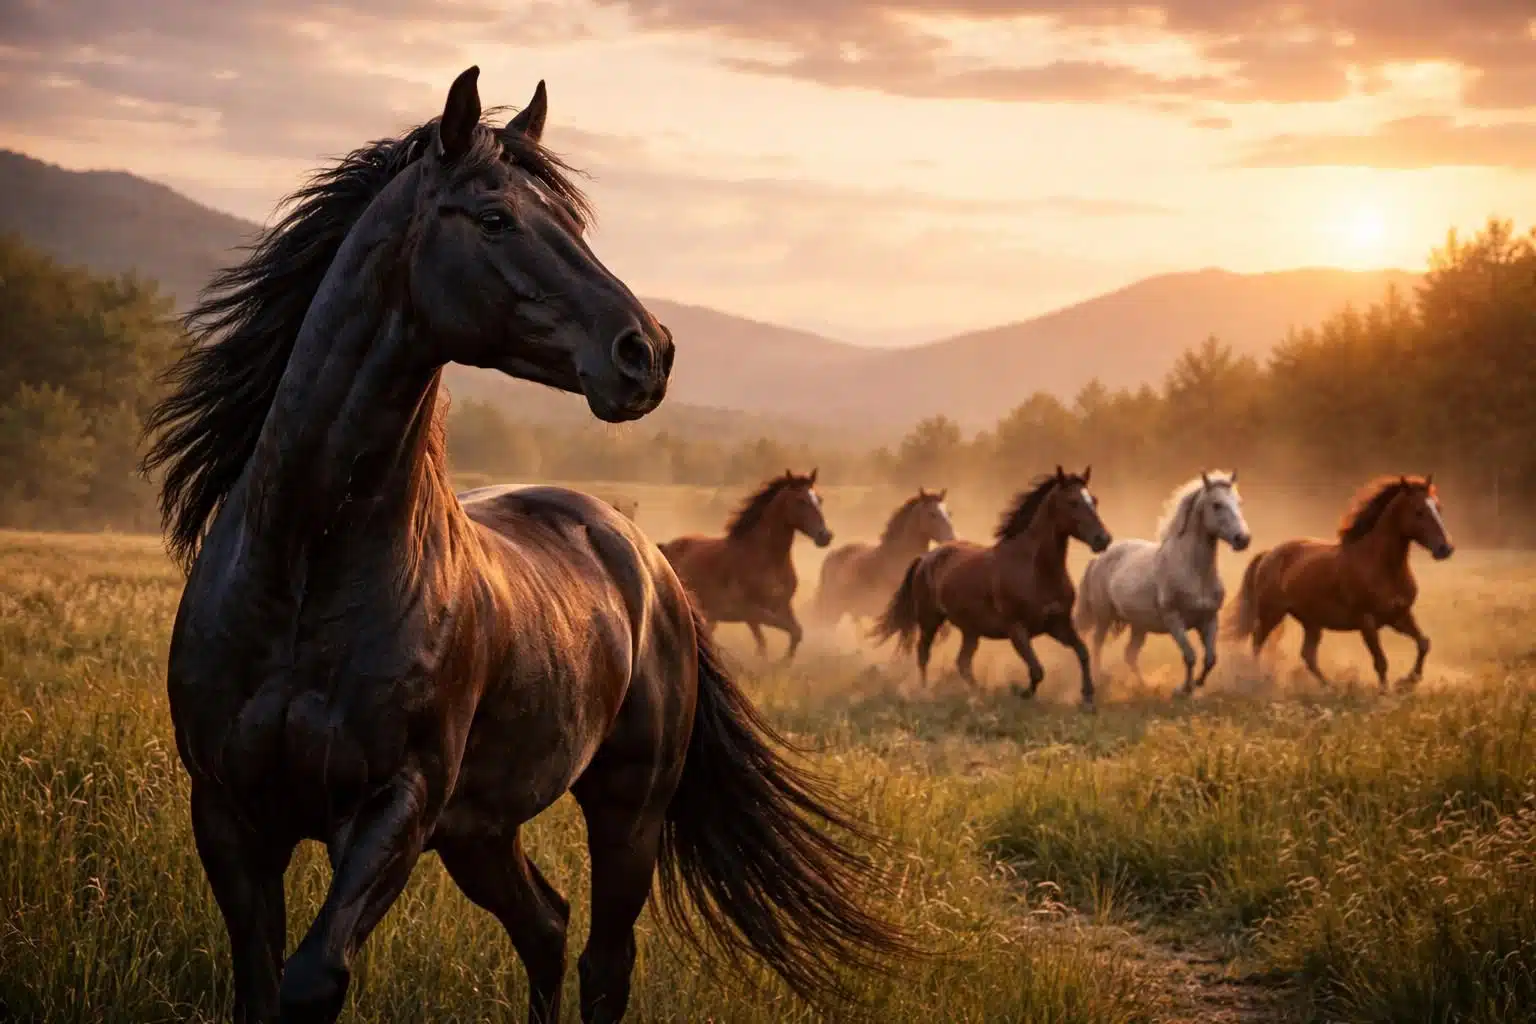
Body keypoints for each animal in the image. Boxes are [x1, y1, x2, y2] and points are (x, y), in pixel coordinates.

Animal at [658, 470, 833, 662]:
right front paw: (775, 664)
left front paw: (780, 663)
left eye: (820, 499)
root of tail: (665, 547)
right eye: (800, 501)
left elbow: (794, 632)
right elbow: (779, 634)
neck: (767, 559)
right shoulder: (749, 612)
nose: (825, 536)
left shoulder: (783, 607)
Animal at [869, 467, 1112, 707]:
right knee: (923, 653)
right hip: (930, 620)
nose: (1103, 539)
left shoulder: (1058, 625)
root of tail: (925, 558)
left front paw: (1088, 698)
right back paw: (925, 692)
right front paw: (1018, 692)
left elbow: (1082, 652)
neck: (1036, 570)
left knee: (963, 662)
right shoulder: (1017, 629)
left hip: (970, 629)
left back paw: (979, 694)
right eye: (1072, 502)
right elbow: (1037, 670)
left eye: (1094, 500)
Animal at [1074, 471, 1251, 697]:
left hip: (1139, 625)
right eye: (1217, 504)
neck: (1194, 573)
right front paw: (1182, 690)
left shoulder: (1210, 619)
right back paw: (1098, 681)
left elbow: (1211, 659)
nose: (1243, 539)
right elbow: (1190, 656)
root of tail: (1098, 558)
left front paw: (1197, 685)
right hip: (1104, 617)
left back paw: (1145, 686)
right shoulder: (1174, 619)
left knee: (1130, 654)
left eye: (1240, 502)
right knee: (1097, 645)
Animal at [1225, 475, 1454, 690]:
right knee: (1257, 643)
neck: (1383, 567)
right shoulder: (1367, 622)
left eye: (1439, 508)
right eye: (1418, 511)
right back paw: (1255, 680)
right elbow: (1381, 662)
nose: (1445, 549)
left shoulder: (1399, 616)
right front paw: (1387, 692)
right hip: (1271, 614)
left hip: (1311, 622)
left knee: (1308, 655)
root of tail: (1268, 554)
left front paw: (1408, 682)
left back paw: (1332, 687)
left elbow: (1424, 643)